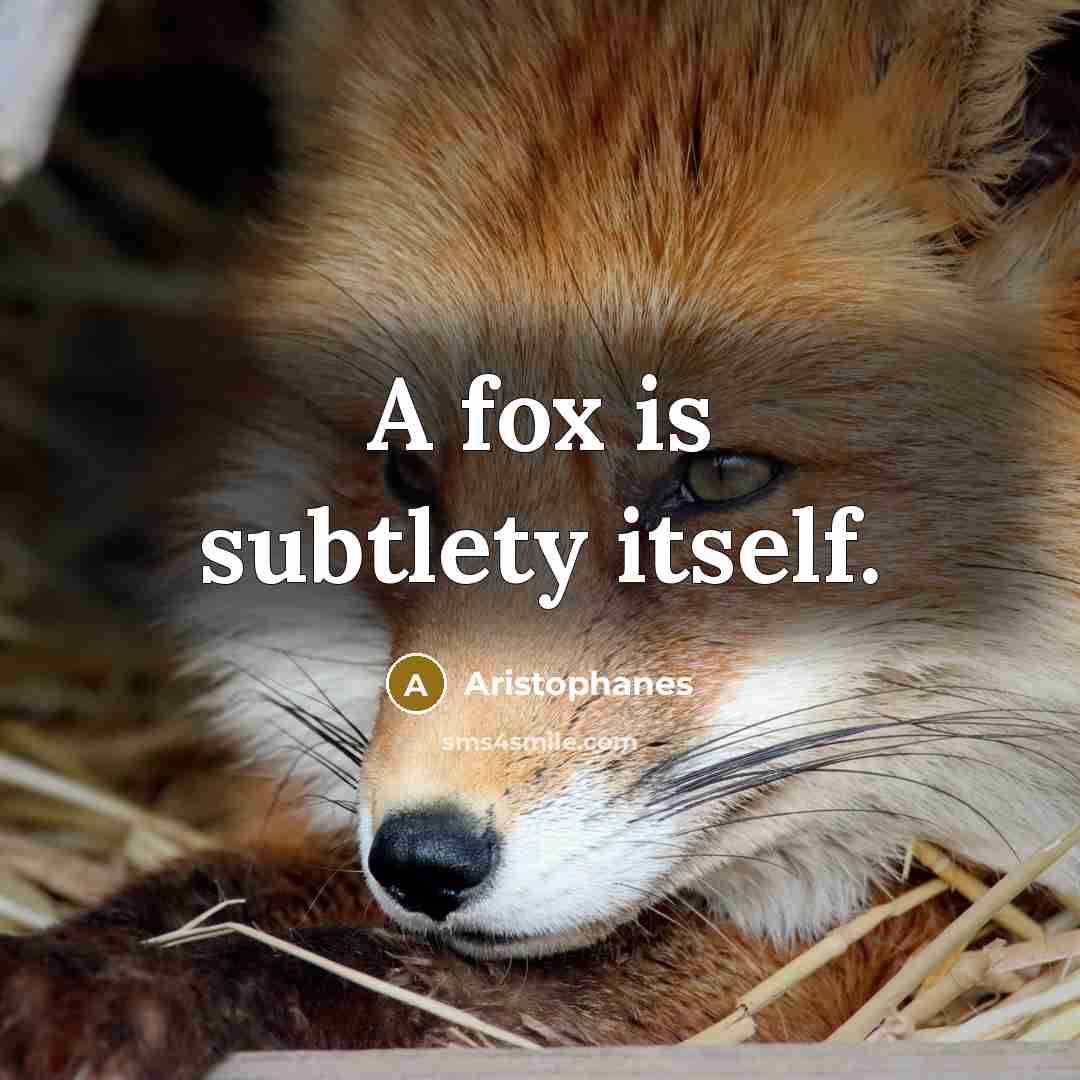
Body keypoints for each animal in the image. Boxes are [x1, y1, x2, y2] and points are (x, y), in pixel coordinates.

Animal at [4, 0, 1080, 1075]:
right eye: (407, 469)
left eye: (721, 477)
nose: (422, 860)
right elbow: (208, 895)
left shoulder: (855, 936)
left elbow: (382, 977)